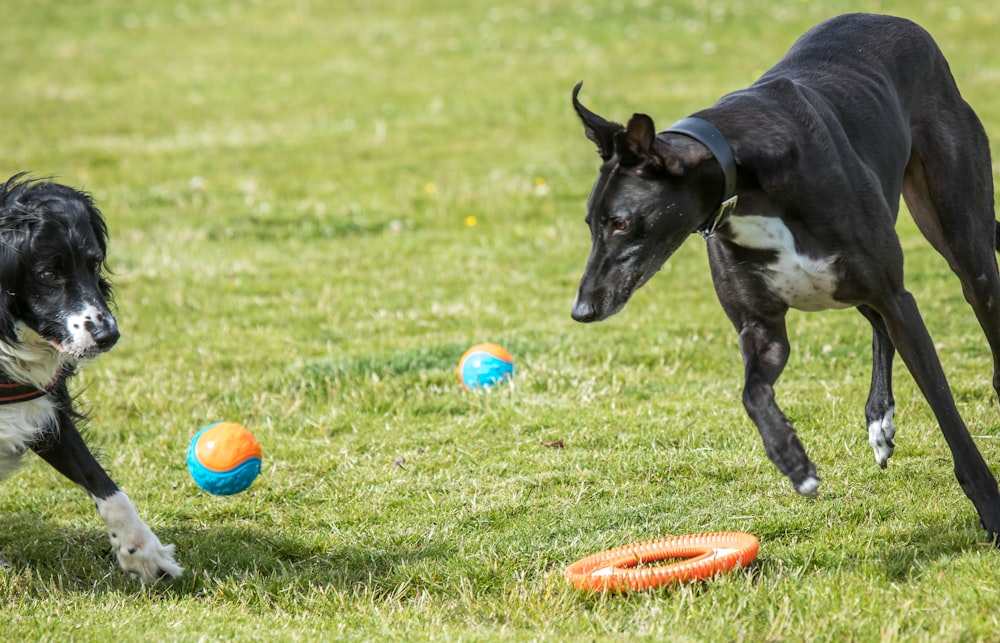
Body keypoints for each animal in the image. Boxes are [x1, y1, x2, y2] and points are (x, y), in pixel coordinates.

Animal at [0, 175, 182, 584]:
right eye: (48, 274)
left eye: (93, 263)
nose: (108, 335)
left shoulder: (43, 409)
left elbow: (106, 486)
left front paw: (144, 554)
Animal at [572, 11, 1000, 544]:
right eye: (591, 223)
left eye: (622, 223)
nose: (582, 310)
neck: (743, 177)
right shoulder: (762, 329)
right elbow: (752, 393)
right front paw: (793, 461)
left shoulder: (896, 296)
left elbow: (947, 412)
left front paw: (991, 511)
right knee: (876, 324)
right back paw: (878, 419)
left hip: (965, 248)